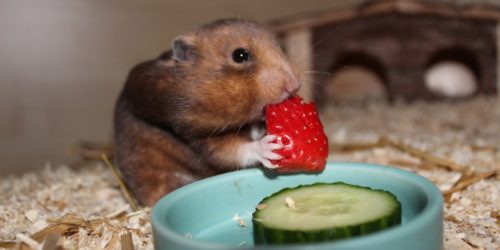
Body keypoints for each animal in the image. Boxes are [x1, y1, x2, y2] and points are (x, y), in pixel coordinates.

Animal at [113, 18, 300, 206]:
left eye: (281, 47)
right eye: (240, 55)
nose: (294, 85)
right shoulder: (196, 134)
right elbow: (231, 152)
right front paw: (271, 146)